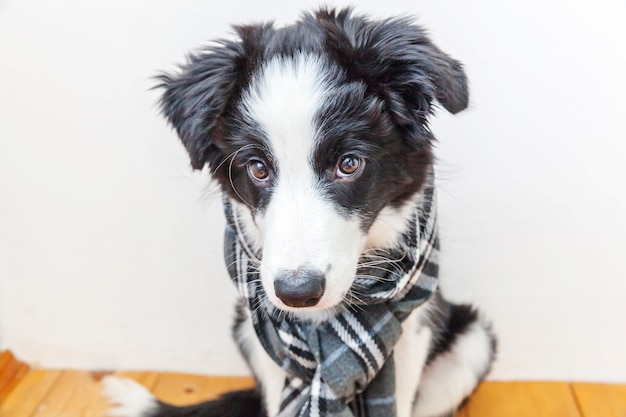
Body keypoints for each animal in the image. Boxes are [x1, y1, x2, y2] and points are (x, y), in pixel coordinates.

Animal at [103, 6, 498, 416]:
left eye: (349, 164)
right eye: (257, 168)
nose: (296, 292)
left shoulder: (412, 334)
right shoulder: (270, 343)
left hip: (473, 342)